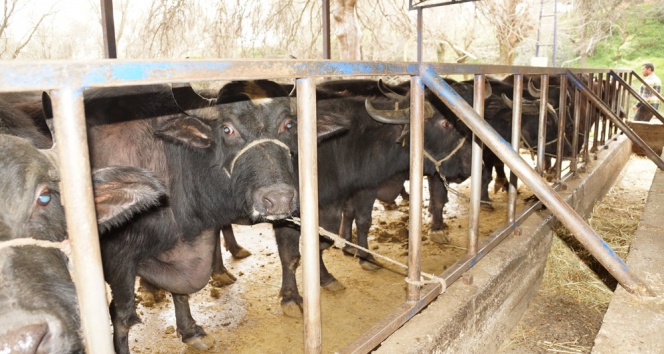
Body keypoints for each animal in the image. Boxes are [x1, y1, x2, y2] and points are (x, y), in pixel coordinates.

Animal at [44, 81, 348, 354]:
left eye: (288, 126)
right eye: (227, 129)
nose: (279, 198)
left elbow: (183, 289)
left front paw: (191, 331)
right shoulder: (117, 257)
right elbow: (122, 316)